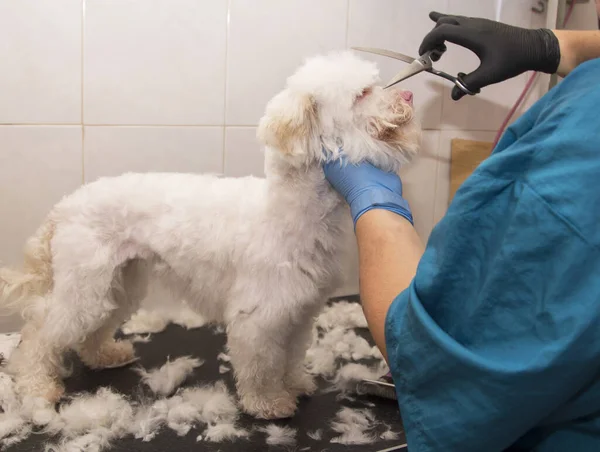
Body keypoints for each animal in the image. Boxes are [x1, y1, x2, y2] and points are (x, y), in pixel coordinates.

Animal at [0, 52, 420, 420]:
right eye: (362, 94)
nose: (410, 96)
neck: (290, 212)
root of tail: (65, 206)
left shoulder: (299, 312)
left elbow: (291, 356)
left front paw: (296, 384)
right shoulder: (259, 316)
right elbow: (261, 366)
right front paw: (268, 404)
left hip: (118, 283)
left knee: (92, 329)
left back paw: (105, 356)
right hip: (84, 287)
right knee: (39, 334)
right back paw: (37, 386)